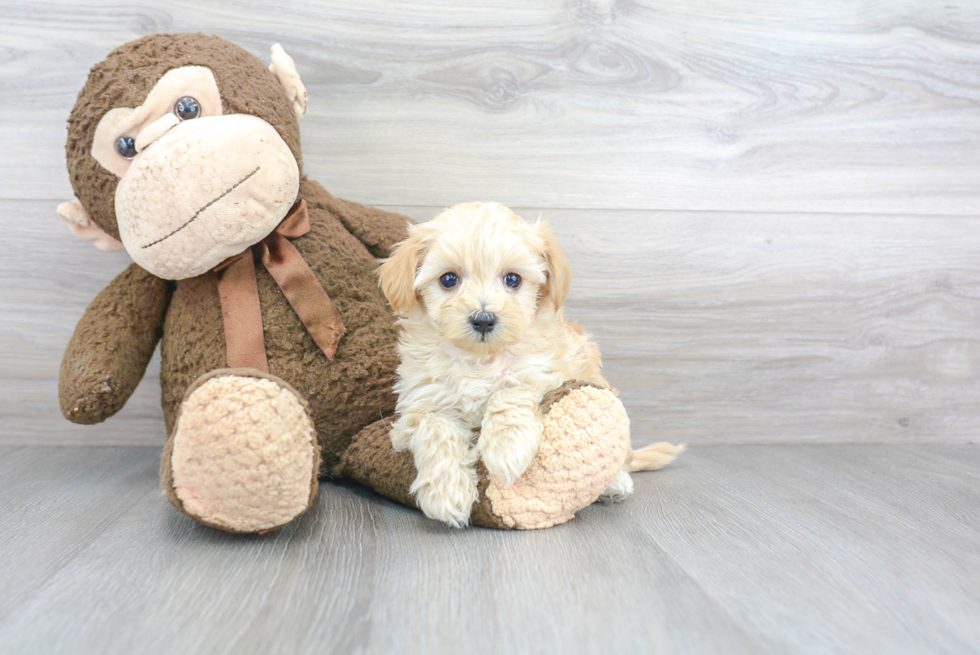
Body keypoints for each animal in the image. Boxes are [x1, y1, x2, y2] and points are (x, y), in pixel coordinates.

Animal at [378, 202, 672, 524]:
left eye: (513, 279)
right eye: (448, 279)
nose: (484, 319)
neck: (480, 359)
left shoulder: (544, 369)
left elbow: (510, 389)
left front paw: (505, 450)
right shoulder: (420, 403)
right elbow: (435, 430)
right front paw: (446, 493)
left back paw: (615, 483)